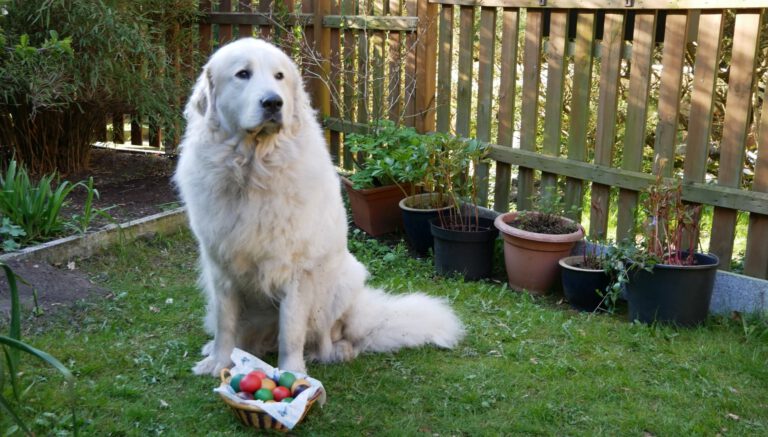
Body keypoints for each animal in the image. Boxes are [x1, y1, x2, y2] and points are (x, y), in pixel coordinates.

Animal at [174, 38, 462, 374]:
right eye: (242, 74)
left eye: (279, 76)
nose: (273, 103)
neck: (254, 170)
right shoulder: (220, 268)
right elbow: (225, 324)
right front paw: (219, 361)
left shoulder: (297, 272)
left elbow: (291, 331)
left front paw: (292, 373)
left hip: (340, 284)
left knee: (332, 335)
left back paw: (332, 352)